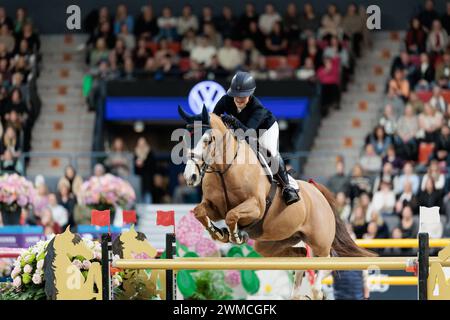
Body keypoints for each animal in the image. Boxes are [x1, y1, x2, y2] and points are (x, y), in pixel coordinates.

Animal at [178, 106, 374, 298]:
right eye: (185, 139)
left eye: (207, 140)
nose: (190, 177)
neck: (224, 170)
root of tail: (318, 192)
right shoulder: (215, 208)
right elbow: (200, 212)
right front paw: (218, 233)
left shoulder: (256, 206)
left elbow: (231, 215)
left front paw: (235, 236)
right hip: (274, 242)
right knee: (302, 256)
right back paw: (297, 292)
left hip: (320, 241)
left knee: (327, 262)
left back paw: (317, 289)